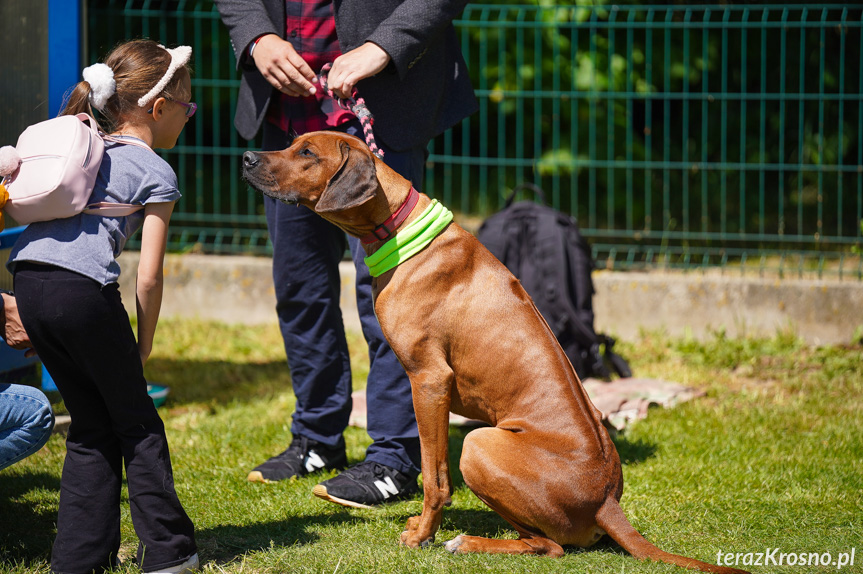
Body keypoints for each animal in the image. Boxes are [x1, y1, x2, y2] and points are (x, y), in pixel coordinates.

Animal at [241, 133, 748, 572]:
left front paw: (421, 535)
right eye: (290, 142)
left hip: (480, 444)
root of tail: (607, 499)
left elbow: (434, 477)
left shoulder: (429, 380)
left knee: (548, 546)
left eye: (306, 151)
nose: (246, 157)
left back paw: (464, 542)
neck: (400, 227)